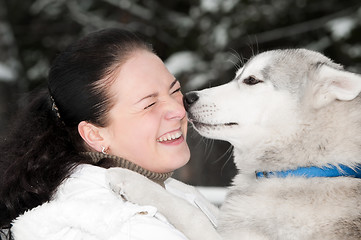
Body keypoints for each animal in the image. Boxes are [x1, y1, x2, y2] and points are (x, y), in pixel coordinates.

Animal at [108, 49, 360, 240]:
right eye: (238, 75)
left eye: (251, 80)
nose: (187, 98)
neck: (304, 167)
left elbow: (191, 214)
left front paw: (131, 179)